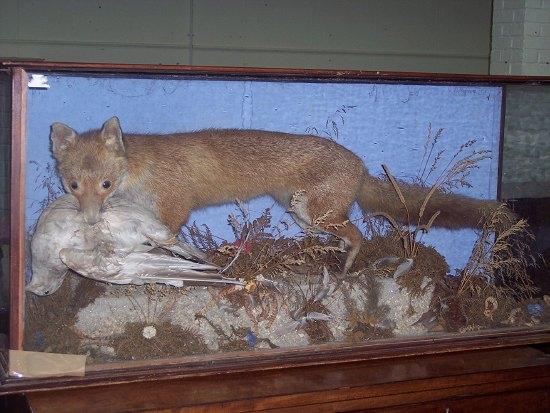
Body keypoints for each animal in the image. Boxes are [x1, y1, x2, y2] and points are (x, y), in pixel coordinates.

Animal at [49, 116, 512, 274]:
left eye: (105, 185)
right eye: (73, 186)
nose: (89, 218)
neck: (141, 175)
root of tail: (361, 165)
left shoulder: (175, 207)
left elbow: (169, 241)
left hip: (316, 211)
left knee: (359, 235)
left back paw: (345, 269)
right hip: (303, 213)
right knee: (342, 234)